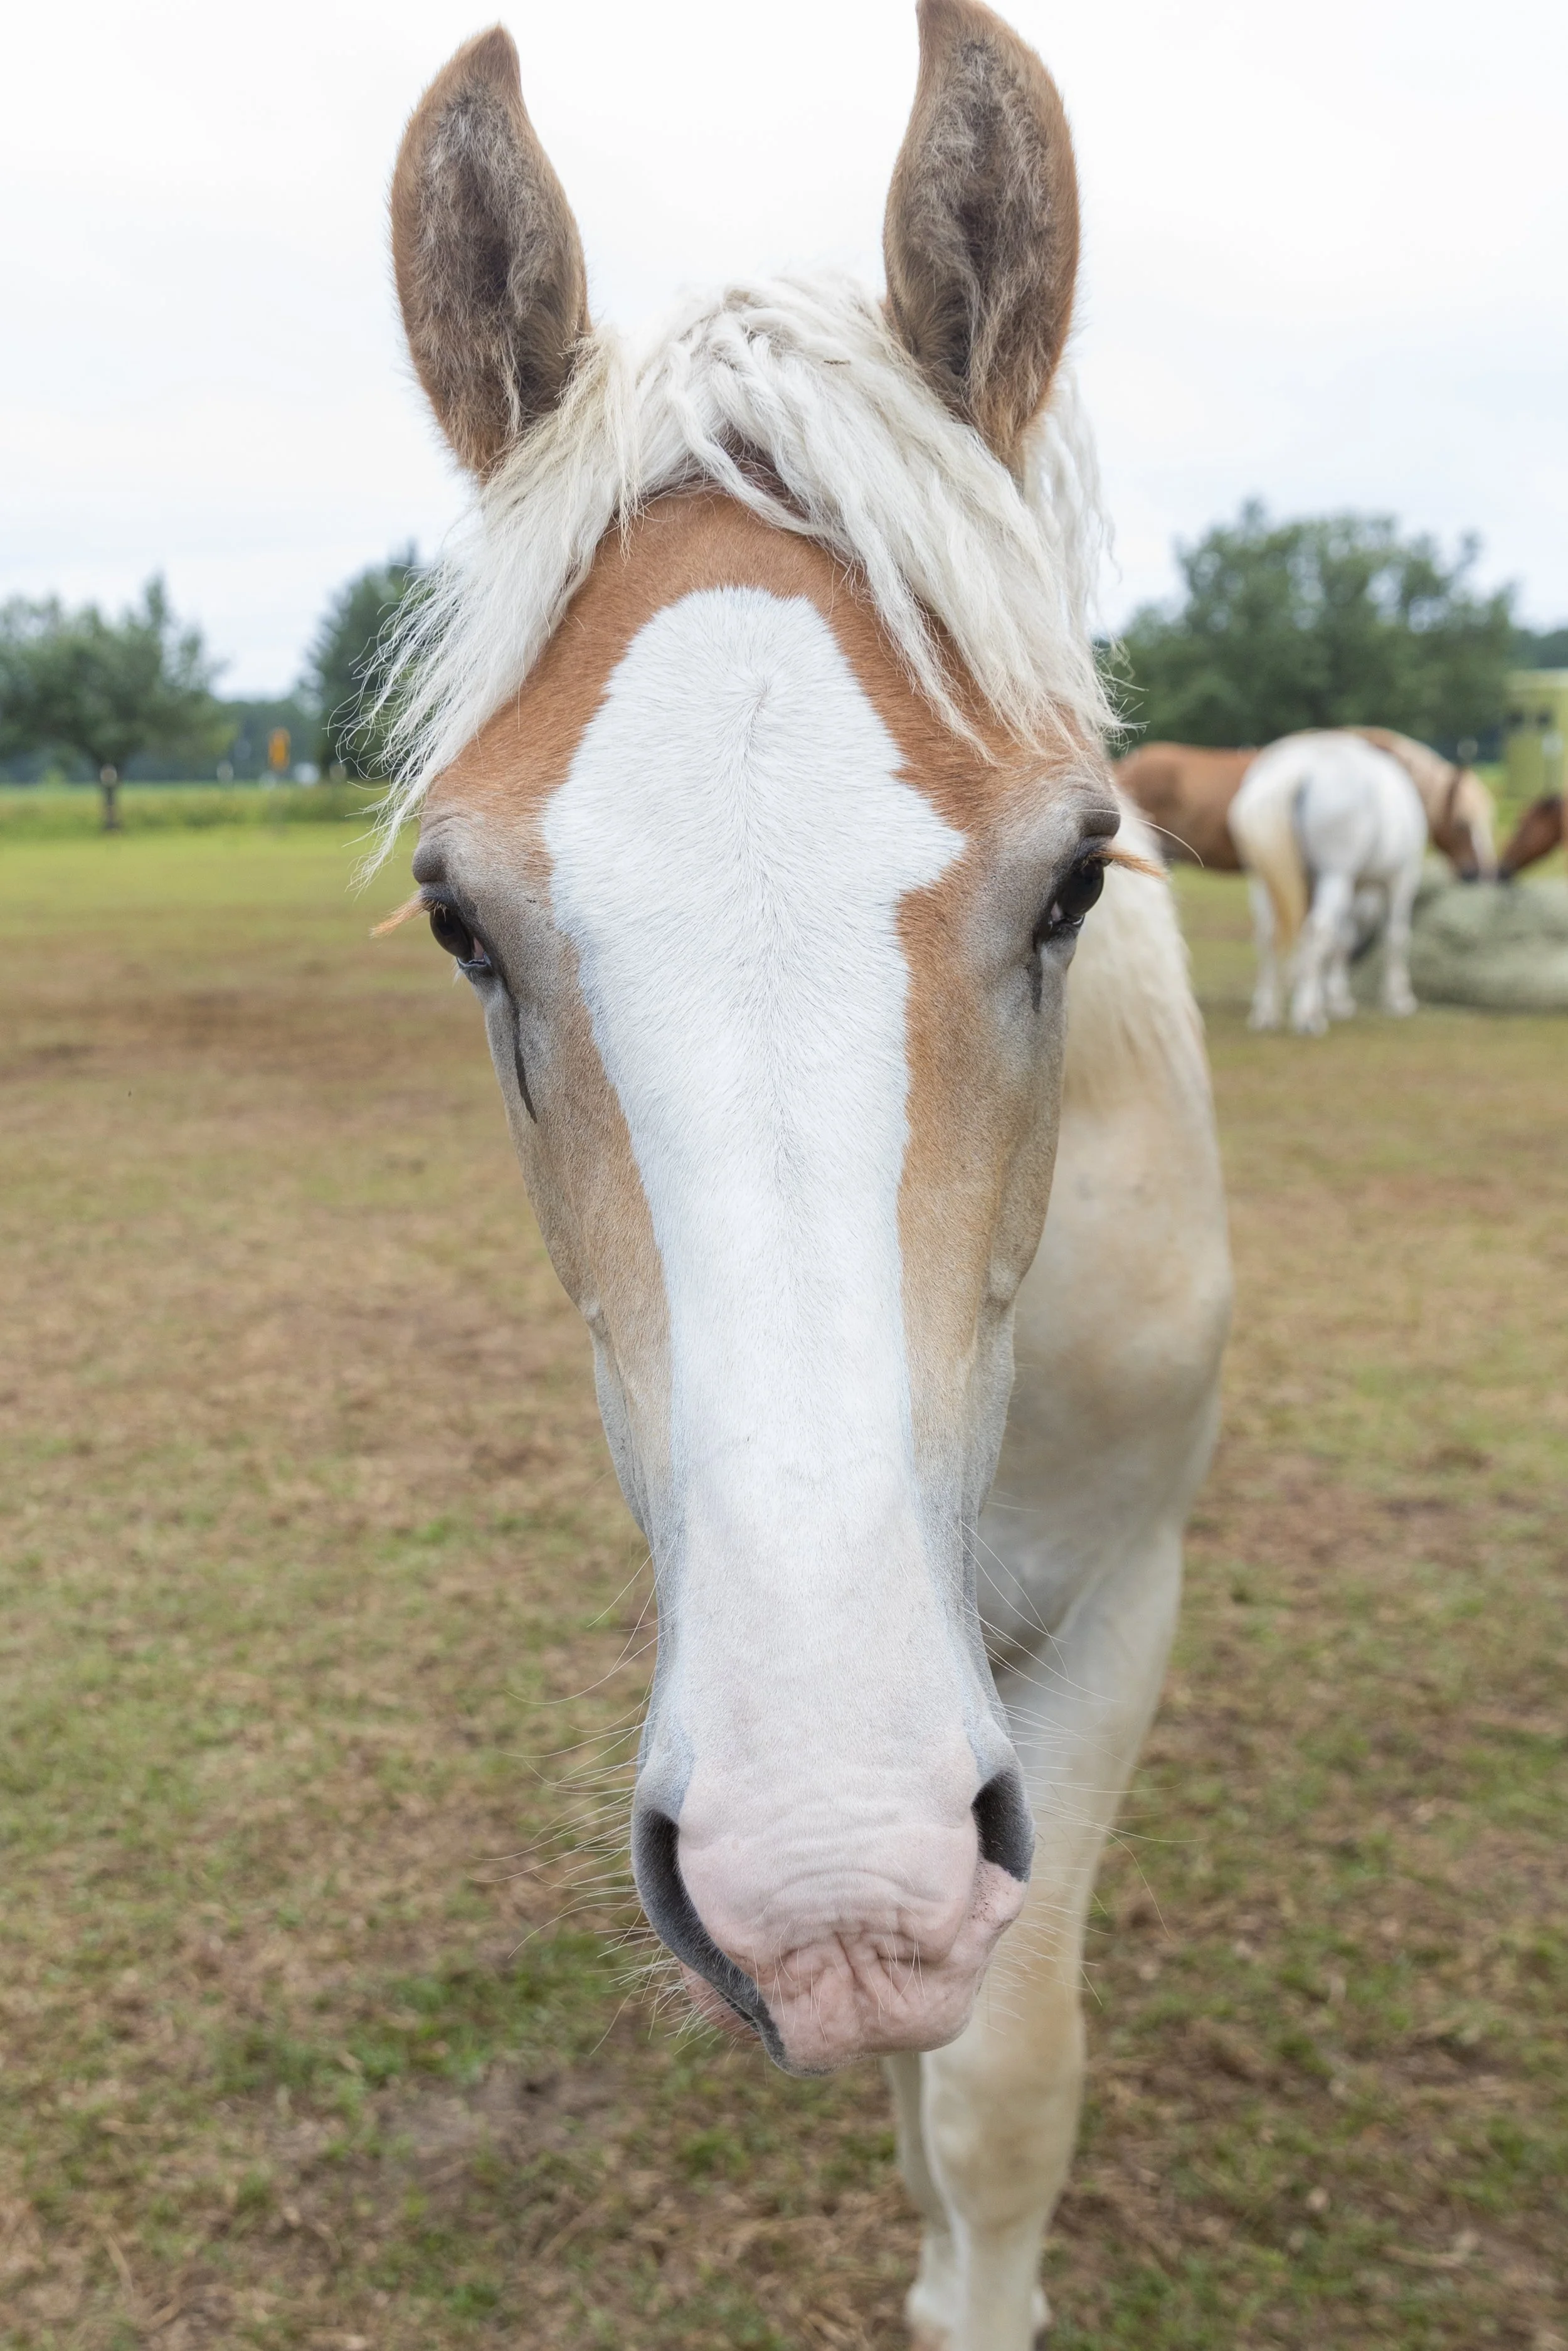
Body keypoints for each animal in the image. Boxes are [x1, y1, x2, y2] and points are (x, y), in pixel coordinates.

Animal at [1228, 731, 1429, 1034]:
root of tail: (1298, 768)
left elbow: (1342, 938)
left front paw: (1337, 1000)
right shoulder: (1401, 880)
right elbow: (1396, 937)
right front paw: (1398, 999)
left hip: (1263, 883)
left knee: (1268, 935)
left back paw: (1267, 1013)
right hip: (1336, 877)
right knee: (1317, 931)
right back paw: (1308, 1017)